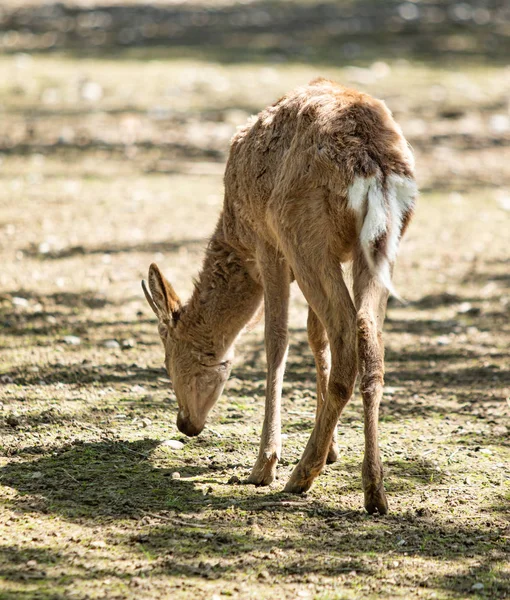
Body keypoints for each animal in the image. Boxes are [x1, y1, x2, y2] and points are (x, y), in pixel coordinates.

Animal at [141, 77, 416, 512]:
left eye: (167, 360)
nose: (184, 424)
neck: (234, 233)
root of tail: (374, 163)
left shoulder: (267, 245)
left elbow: (277, 340)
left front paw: (264, 464)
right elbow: (315, 337)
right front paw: (333, 450)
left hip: (302, 233)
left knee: (345, 337)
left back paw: (299, 475)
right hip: (381, 242)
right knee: (368, 337)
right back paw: (374, 490)